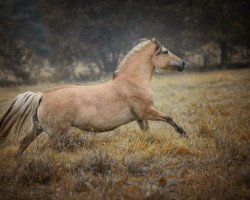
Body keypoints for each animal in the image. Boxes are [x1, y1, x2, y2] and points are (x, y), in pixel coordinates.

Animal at [0, 37, 188, 156]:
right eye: (165, 51)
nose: (183, 63)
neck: (132, 81)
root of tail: (42, 96)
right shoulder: (147, 111)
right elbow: (169, 118)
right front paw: (183, 134)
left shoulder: (140, 117)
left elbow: (147, 133)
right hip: (56, 134)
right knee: (44, 150)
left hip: (38, 128)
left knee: (23, 144)